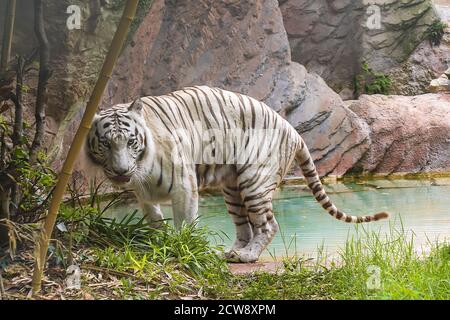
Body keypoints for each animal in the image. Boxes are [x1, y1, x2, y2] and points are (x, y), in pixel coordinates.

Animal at [86, 85, 388, 262]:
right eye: (106, 144)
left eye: (130, 142)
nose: (121, 171)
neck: (142, 170)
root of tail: (293, 130)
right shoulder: (144, 195)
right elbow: (154, 220)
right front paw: (158, 240)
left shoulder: (184, 185)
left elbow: (185, 221)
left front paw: (181, 247)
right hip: (232, 189)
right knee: (245, 227)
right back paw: (233, 252)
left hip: (254, 182)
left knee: (268, 225)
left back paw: (247, 256)